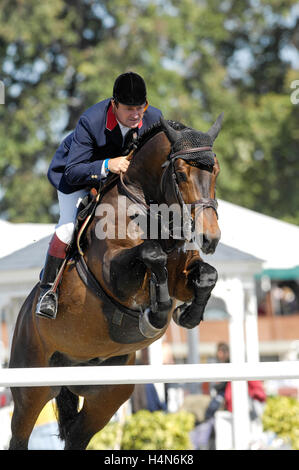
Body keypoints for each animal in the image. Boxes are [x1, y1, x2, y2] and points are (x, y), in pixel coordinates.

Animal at [8, 113, 224, 448]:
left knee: (78, 435)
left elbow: (207, 275)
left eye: (214, 170)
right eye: (180, 173)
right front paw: (156, 315)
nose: (209, 238)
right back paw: (47, 301)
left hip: (108, 394)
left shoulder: (182, 274)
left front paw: (187, 315)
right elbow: (150, 254)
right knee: (20, 433)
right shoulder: (113, 272)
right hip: (31, 387)